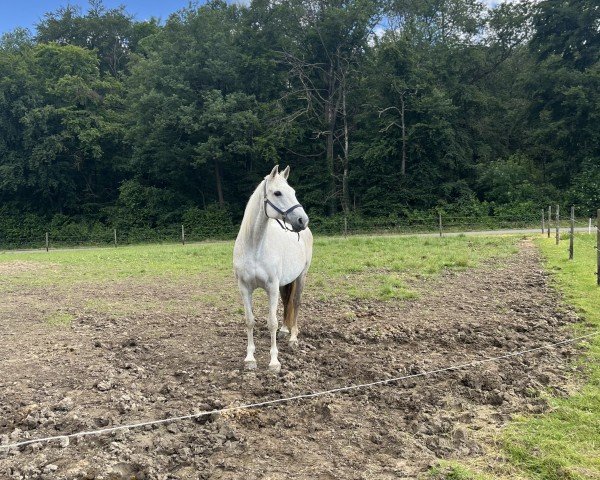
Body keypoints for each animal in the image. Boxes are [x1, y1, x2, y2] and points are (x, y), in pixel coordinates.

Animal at [232, 165, 312, 372]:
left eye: (293, 192)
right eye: (277, 193)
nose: (302, 220)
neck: (255, 245)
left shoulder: (272, 287)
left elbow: (271, 323)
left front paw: (274, 362)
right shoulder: (244, 288)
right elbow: (250, 321)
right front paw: (250, 359)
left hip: (301, 276)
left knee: (295, 303)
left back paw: (293, 338)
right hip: (286, 282)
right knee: (287, 302)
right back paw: (285, 331)